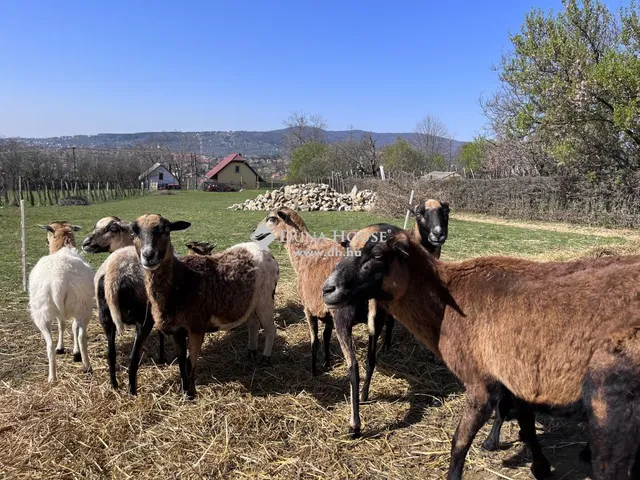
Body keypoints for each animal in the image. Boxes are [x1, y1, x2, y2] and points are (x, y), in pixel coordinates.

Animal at [28, 221, 94, 382]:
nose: (46, 241)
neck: (63, 248)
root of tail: (58, 282)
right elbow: (66, 326)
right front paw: (70, 351)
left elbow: (64, 326)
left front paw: (70, 351)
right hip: (80, 306)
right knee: (76, 336)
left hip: (45, 311)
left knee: (56, 342)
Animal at [324, 226, 640, 480]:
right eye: (347, 248)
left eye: (377, 255)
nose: (328, 289)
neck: (447, 304)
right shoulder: (514, 375)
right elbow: (526, 423)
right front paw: (540, 467)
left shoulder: (481, 383)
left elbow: (459, 443)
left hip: (612, 398)